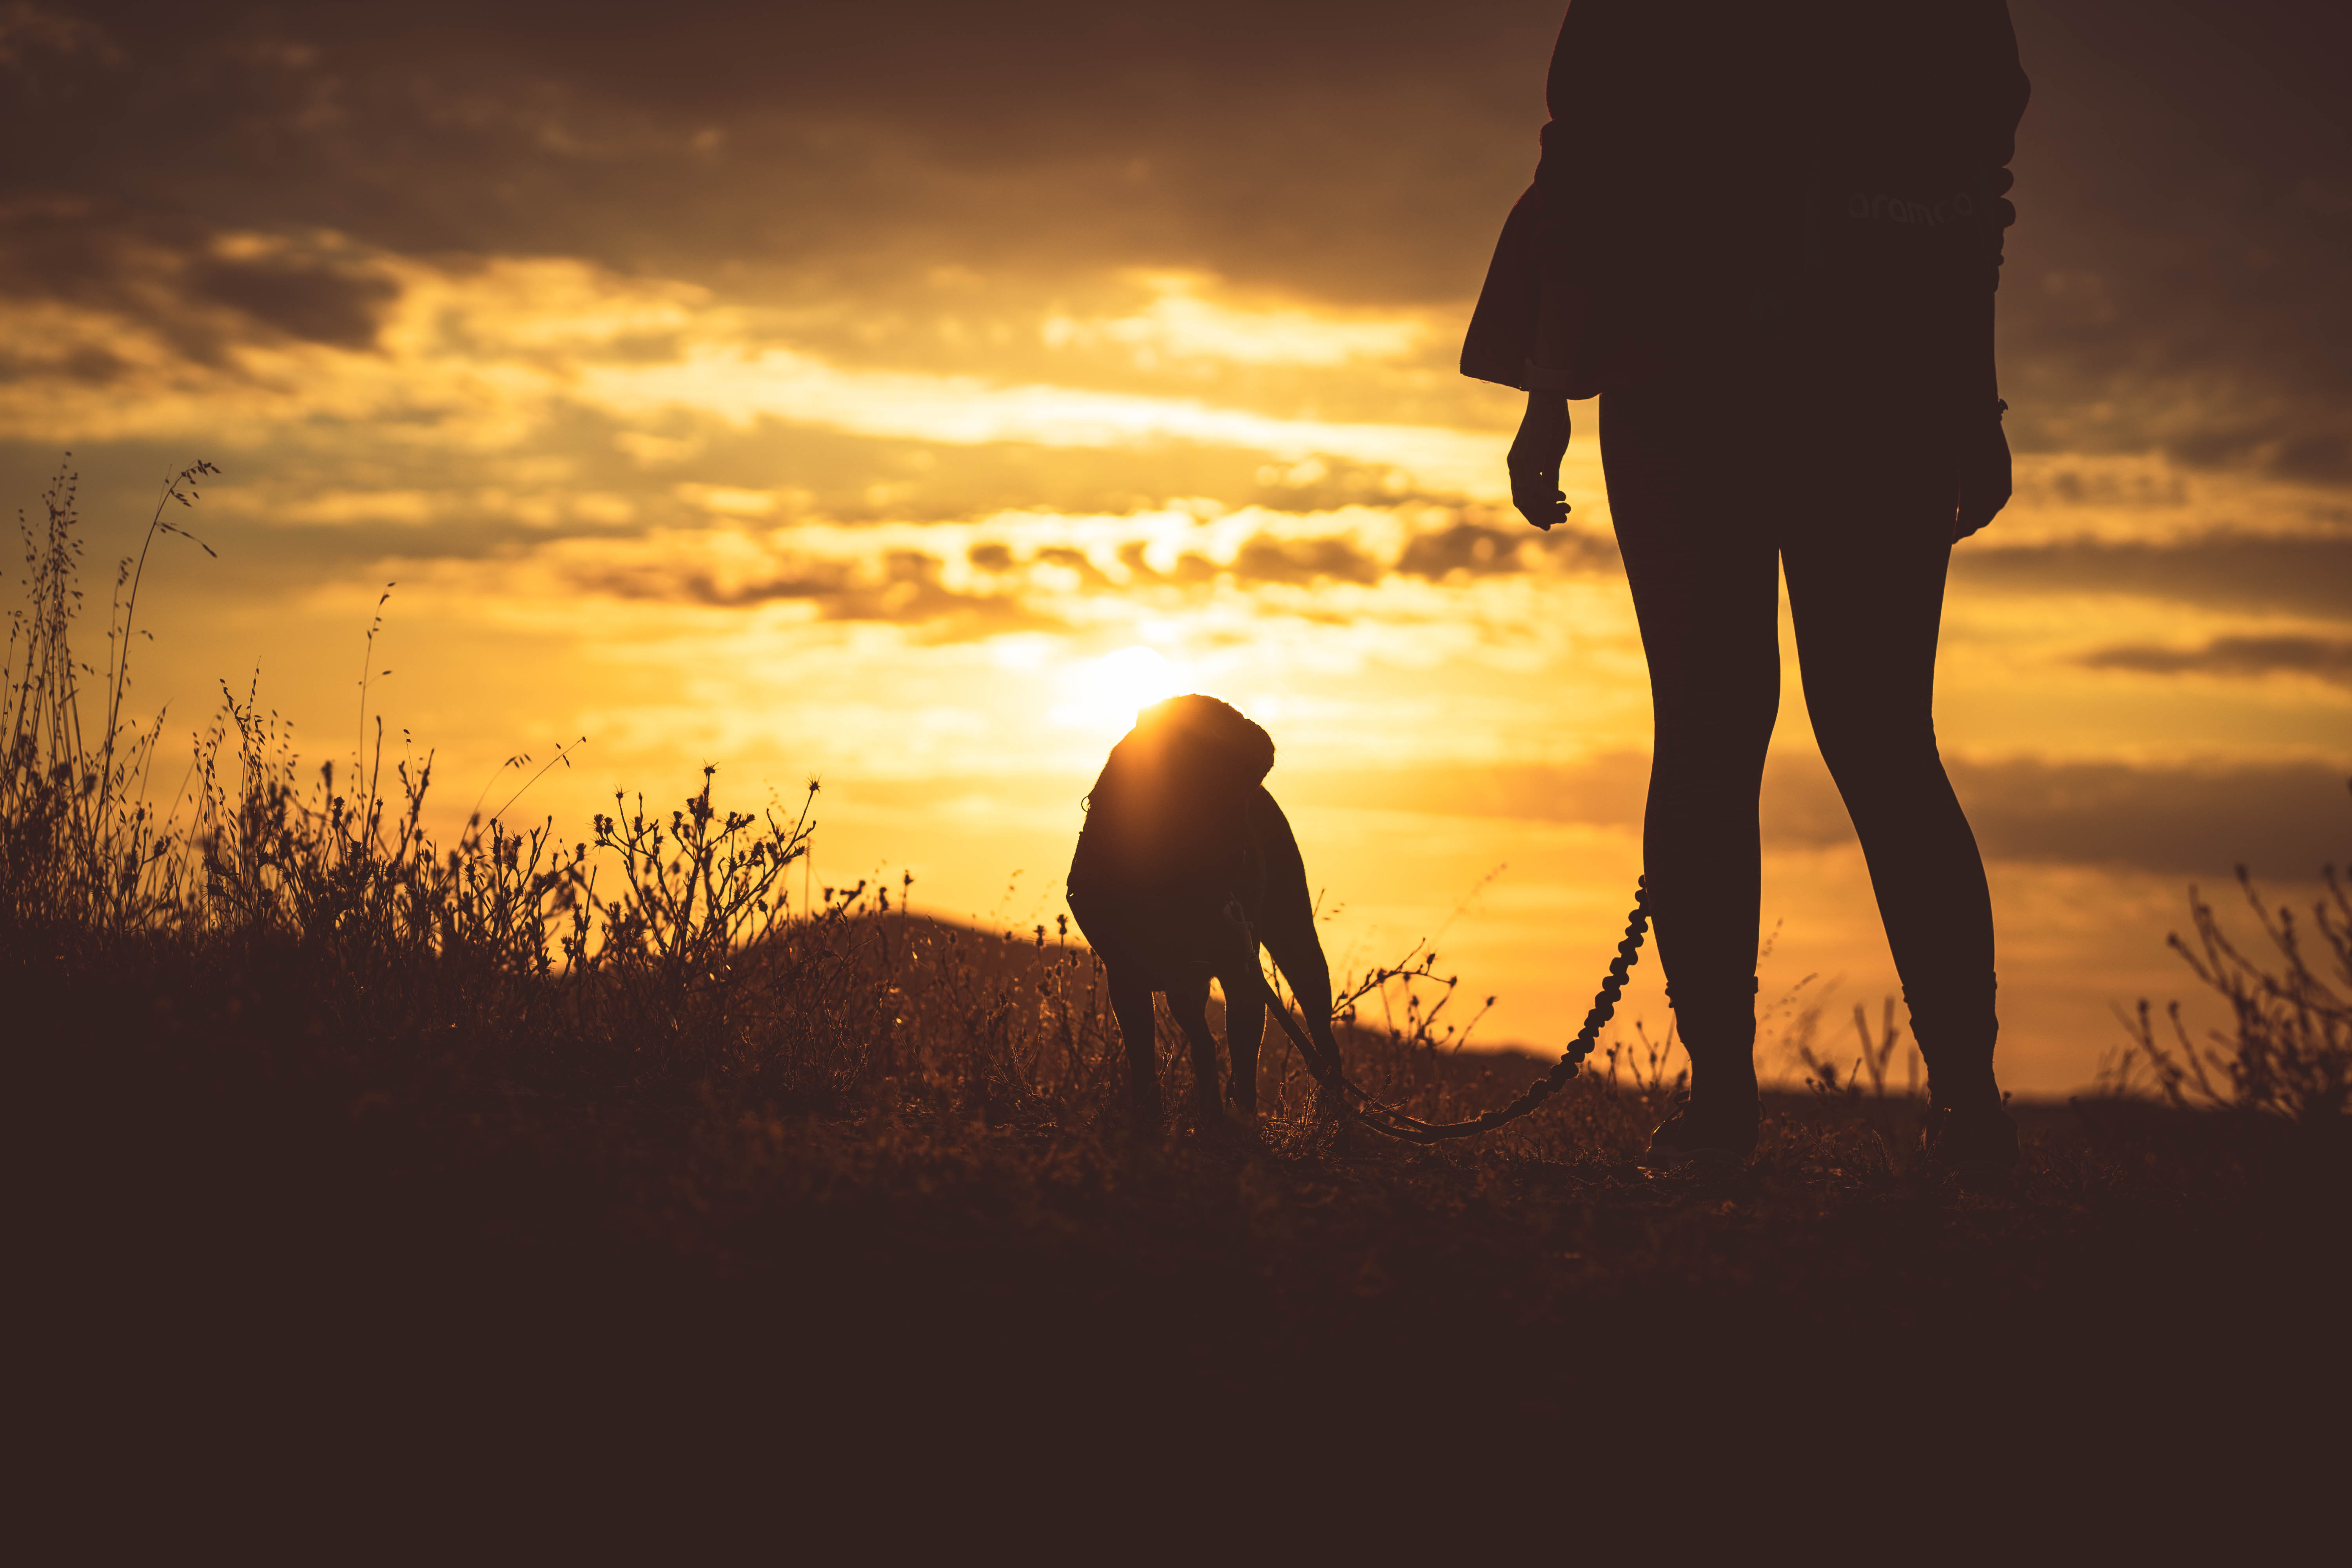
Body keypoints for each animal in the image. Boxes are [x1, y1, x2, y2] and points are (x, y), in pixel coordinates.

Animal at [1068, 696, 1345, 1128]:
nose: (1256, 730)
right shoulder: (1126, 978)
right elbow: (1144, 1065)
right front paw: (1150, 1124)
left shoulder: (1241, 976)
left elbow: (1245, 1062)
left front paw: (1240, 1126)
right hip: (1185, 989)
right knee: (1204, 1043)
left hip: (1295, 941)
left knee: (1322, 1038)